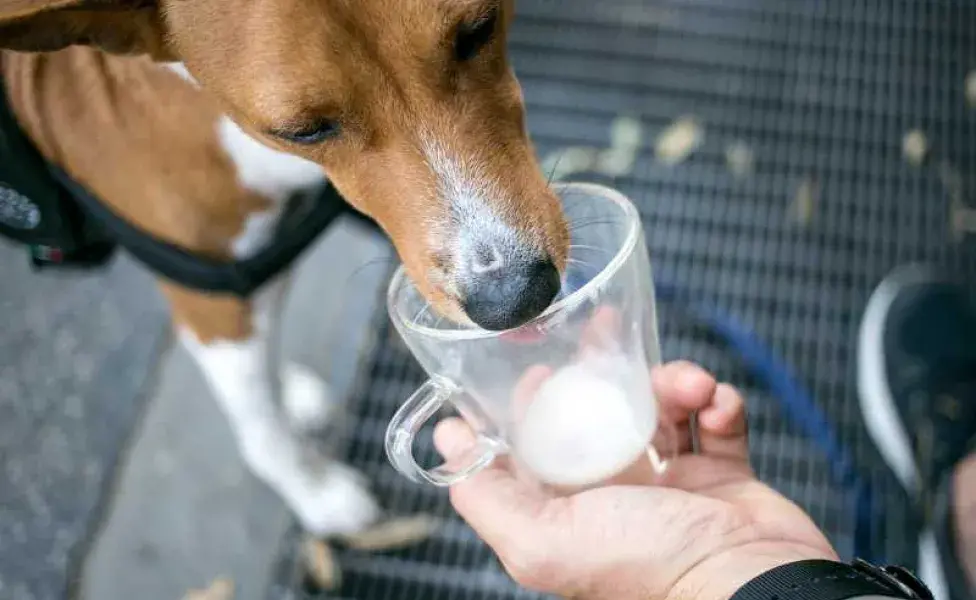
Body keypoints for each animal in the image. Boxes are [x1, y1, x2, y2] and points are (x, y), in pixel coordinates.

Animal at [0, 0, 568, 536]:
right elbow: (262, 426)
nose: (515, 297)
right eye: (304, 131)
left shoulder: (259, 265)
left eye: (478, 30)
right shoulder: (212, 301)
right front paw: (314, 493)